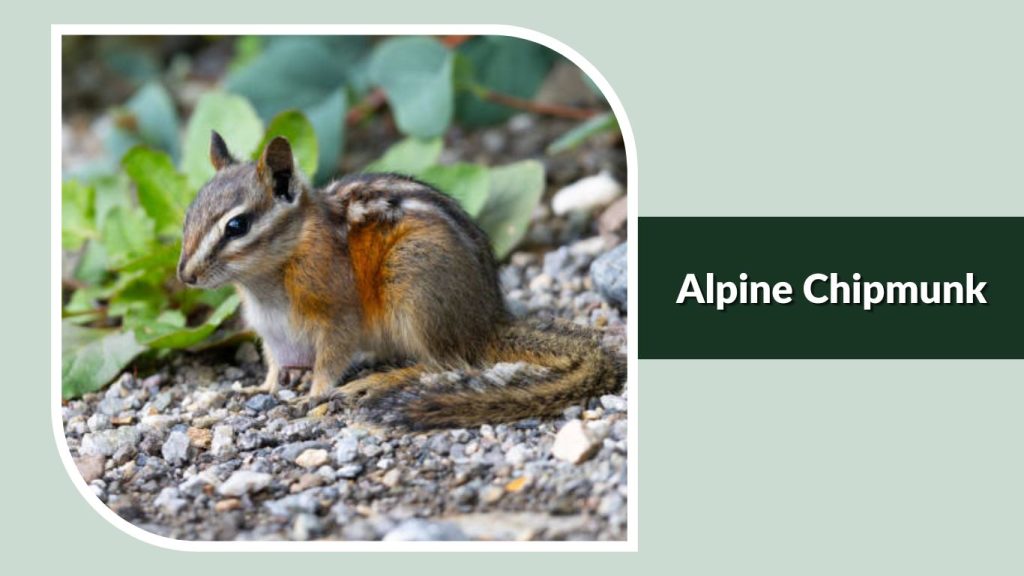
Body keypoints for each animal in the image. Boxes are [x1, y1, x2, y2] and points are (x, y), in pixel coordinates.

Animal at [177, 132, 625, 430]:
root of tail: (486, 321)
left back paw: (378, 380)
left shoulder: (336, 313)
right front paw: (261, 388)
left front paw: (313, 394)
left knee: (444, 362)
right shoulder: (271, 329)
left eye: (237, 226)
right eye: (188, 216)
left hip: (412, 284)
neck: (265, 281)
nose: (185, 275)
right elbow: (274, 363)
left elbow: (331, 359)